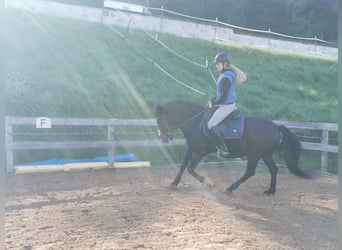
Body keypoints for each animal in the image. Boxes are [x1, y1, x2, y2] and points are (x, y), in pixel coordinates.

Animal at [156, 100, 312, 195]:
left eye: (160, 119)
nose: (164, 138)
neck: (195, 121)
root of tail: (276, 127)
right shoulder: (192, 148)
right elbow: (183, 166)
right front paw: (174, 183)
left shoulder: (200, 152)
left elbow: (190, 168)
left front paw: (206, 181)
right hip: (265, 154)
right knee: (273, 169)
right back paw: (270, 191)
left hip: (255, 154)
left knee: (250, 172)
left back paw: (230, 189)